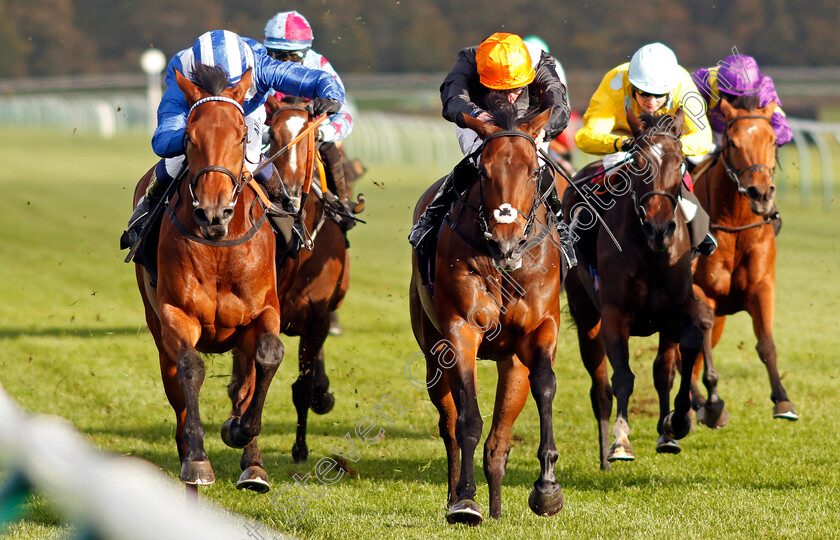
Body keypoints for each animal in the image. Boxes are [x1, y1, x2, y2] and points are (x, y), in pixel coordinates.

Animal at [133, 65, 284, 492]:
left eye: (242, 135)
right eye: (189, 136)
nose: (214, 213)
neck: (219, 247)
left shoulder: (265, 310)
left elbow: (270, 355)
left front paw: (239, 431)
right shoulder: (175, 314)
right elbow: (190, 368)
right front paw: (198, 460)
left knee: (248, 379)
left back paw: (253, 464)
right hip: (157, 330)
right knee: (177, 389)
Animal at [410, 104, 568, 524]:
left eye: (533, 171)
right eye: (483, 171)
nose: (505, 242)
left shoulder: (541, 329)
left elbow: (545, 385)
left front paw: (547, 488)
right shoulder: (461, 331)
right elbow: (467, 417)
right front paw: (465, 500)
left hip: (511, 364)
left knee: (499, 441)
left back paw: (497, 507)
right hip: (433, 352)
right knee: (450, 423)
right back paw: (458, 496)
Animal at [564, 108, 704, 468]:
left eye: (680, 162)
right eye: (638, 162)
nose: (660, 229)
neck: (650, 254)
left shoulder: (677, 310)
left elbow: (677, 361)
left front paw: (675, 424)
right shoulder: (615, 314)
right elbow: (622, 377)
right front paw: (621, 441)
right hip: (586, 315)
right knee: (600, 387)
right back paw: (603, 455)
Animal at [688, 98, 800, 426]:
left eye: (773, 140)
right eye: (733, 143)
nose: (760, 193)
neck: (735, 227)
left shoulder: (762, 286)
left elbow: (766, 342)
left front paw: (783, 400)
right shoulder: (697, 291)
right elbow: (700, 328)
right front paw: (712, 403)